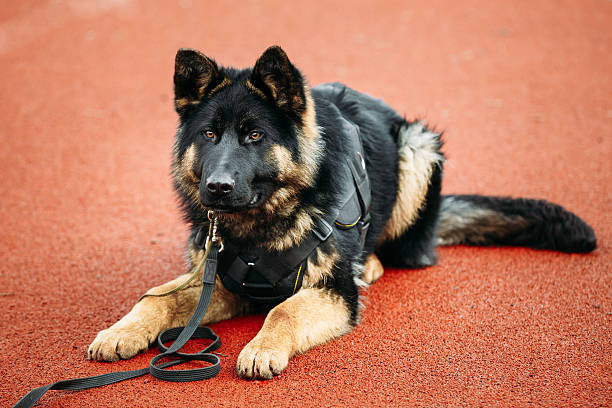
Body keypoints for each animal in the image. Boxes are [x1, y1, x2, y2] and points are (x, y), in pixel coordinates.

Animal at [88, 47, 596, 380]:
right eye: (209, 134)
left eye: (254, 136)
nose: (217, 188)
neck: (262, 225)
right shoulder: (226, 283)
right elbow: (158, 298)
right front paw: (121, 331)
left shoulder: (334, 292)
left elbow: (284, 311)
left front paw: (262, 348)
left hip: (418, 146)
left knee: (402, 250)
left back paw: (369, 263)